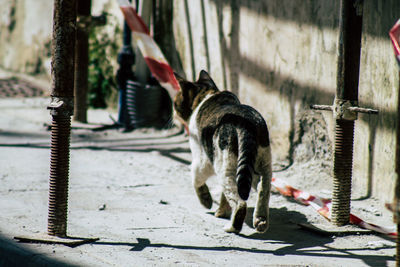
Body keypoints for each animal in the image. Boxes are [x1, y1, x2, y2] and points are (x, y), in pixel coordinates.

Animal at [174, 70, 272, 233]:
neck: (207, 94)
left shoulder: (202, 159)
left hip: (224, 166)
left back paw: (232, 227)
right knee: (263, 190)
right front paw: (221, 211)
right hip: (263, 165)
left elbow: (195, 177)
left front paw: (206, 201)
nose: (172, 113)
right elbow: (223, 196)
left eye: (175, 103)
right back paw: (260, 222)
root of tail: (245, 124)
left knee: (240, 203)